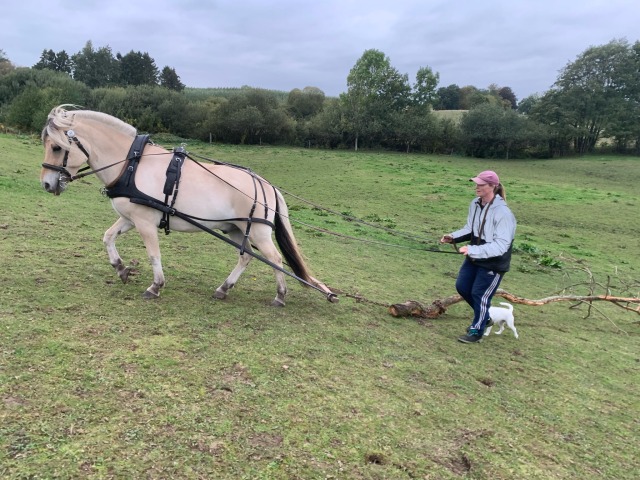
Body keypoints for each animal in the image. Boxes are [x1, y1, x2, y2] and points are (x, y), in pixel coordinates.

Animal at [39, 105, 336, 308]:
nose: (46, 184)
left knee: (274, 259)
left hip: (258, 232)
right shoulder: (130, 218)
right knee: (246, 256)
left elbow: (153, 255)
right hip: (235, 229)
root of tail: (266, 184)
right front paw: (121, 269)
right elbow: (107, 237)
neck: (131, 164)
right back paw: (223, 288)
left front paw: (155, 286)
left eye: (56, 147)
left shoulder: (145, 222)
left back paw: (280, 295)